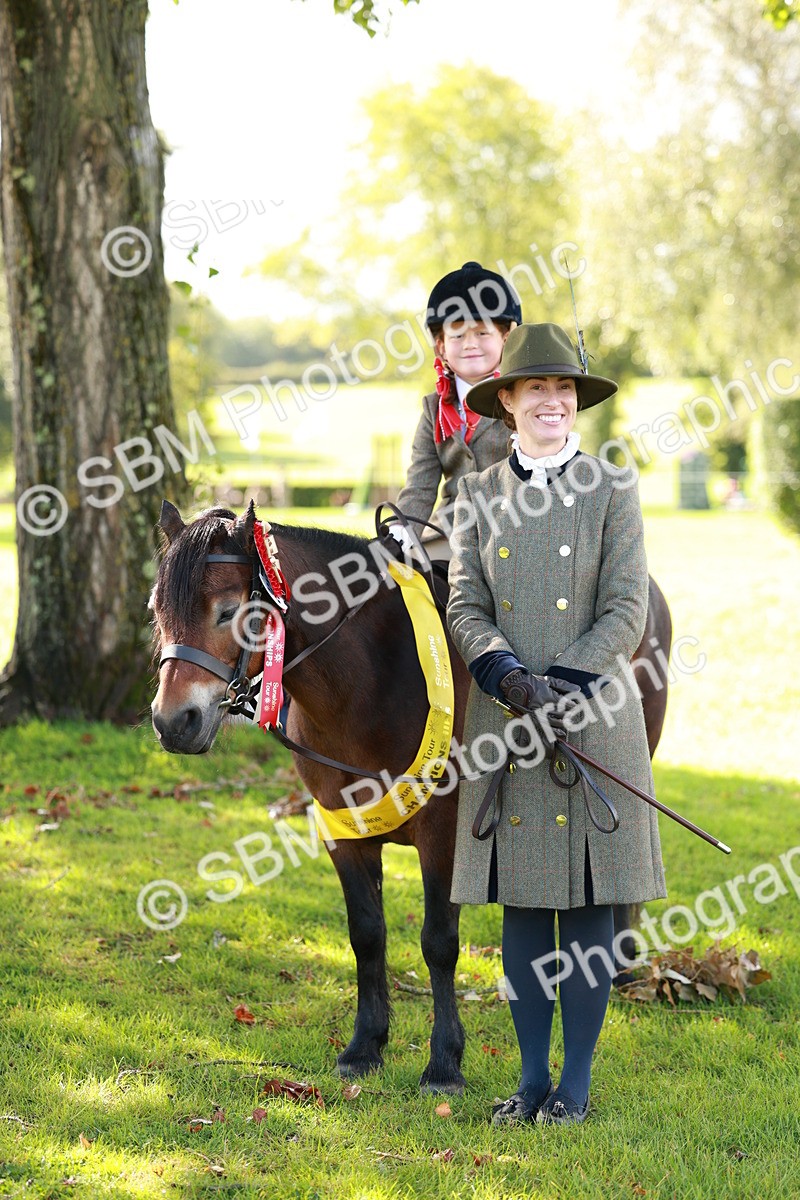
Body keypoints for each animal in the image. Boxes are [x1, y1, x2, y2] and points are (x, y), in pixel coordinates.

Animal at [150, 499, 672, 1093]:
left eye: (228, 611)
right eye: (157, 609)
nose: (174, 722)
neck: (367, 684)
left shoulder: (444, 834)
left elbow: (438, 942)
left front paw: (444, 1062)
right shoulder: (342, 830)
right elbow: (366, 934)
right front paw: (364, 1045)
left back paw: (619, 963)